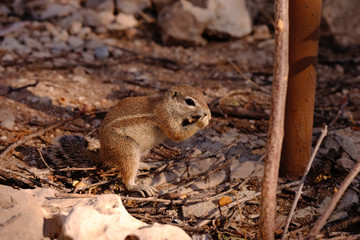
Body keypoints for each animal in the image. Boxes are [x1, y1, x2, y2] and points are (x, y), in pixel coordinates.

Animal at [42, 85, 211, 196]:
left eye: (203, 96)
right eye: (190, 102)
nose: (208, 111)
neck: (168, 105)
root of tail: (105, 155)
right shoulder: (164, 116)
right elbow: (176, 135)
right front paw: (202, 121)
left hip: (141, 149)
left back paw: (148, 164)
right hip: (127, 148)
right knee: (128, 177)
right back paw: (138, 187)